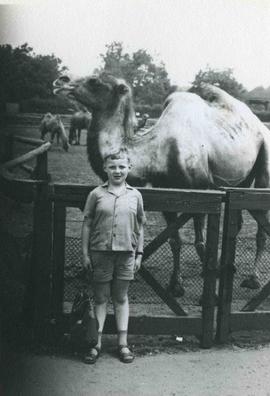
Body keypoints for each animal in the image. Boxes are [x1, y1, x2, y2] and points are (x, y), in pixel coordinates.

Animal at [53, 72, 270, 294]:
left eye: (95, 81)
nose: (61, 80)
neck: (158, 150)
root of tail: (260, 125)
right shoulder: (167, 193)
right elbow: (174, 240)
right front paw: (176, 284)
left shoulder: (202, 190)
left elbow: (200, 242)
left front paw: (212, 272)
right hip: (242, 178)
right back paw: (231, 266)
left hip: (264, 157)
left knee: (261, 224)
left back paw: (253, 279)